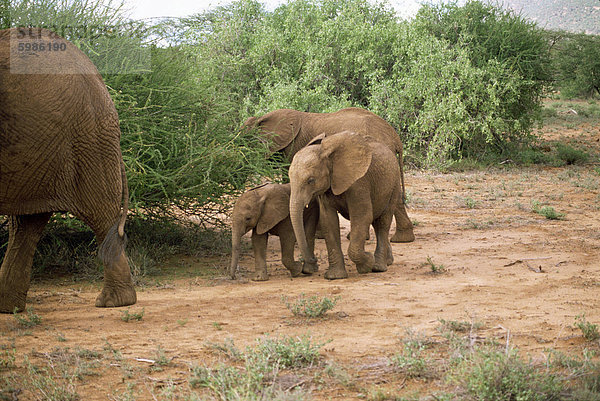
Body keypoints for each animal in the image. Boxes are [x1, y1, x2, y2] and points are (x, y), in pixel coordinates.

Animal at [290, 131, 400, 278]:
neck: (327, 155)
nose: (314, 260)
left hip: (394, 185)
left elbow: (362, 217)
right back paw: (388, 261)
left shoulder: (359, 183)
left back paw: (378, 267)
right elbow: (328, 221)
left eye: (311, 180)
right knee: (377, 223)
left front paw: (367, 263)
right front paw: (335, 276)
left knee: (383, 222)